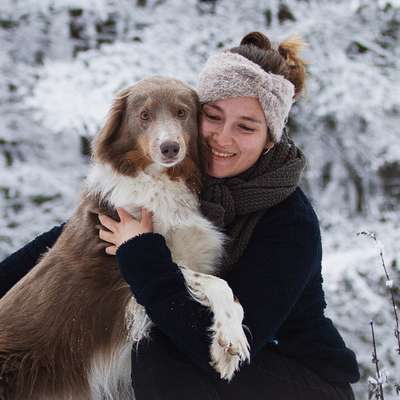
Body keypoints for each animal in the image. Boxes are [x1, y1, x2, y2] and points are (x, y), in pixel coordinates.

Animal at [0, 77, 248, 400]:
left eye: (182, 113)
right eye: (144, 116)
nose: (170, 148)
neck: (160, 181)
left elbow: (228, 291)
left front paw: (225, 348)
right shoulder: (120, 271)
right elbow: (214, 282)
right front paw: (231, 336)